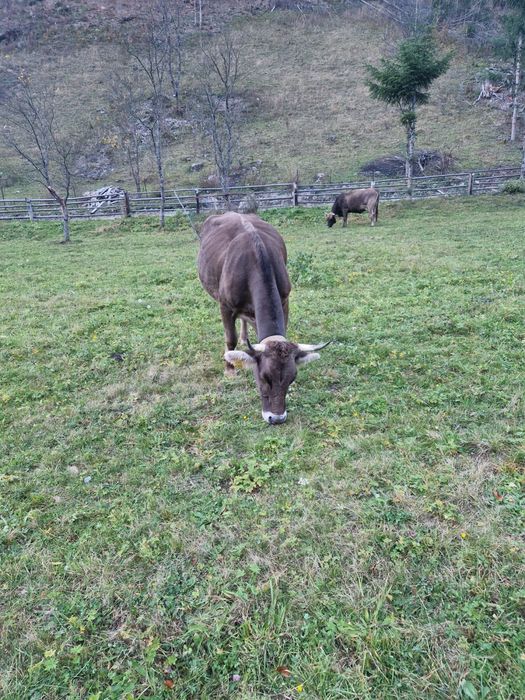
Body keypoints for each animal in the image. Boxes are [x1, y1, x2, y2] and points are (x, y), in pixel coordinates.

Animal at [197, 212, 329, 424]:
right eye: (264, 377)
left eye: (292, 378)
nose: (276, 418)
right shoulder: (225, 305)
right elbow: (230, 339)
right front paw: (229, 369)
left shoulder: (284, 300)